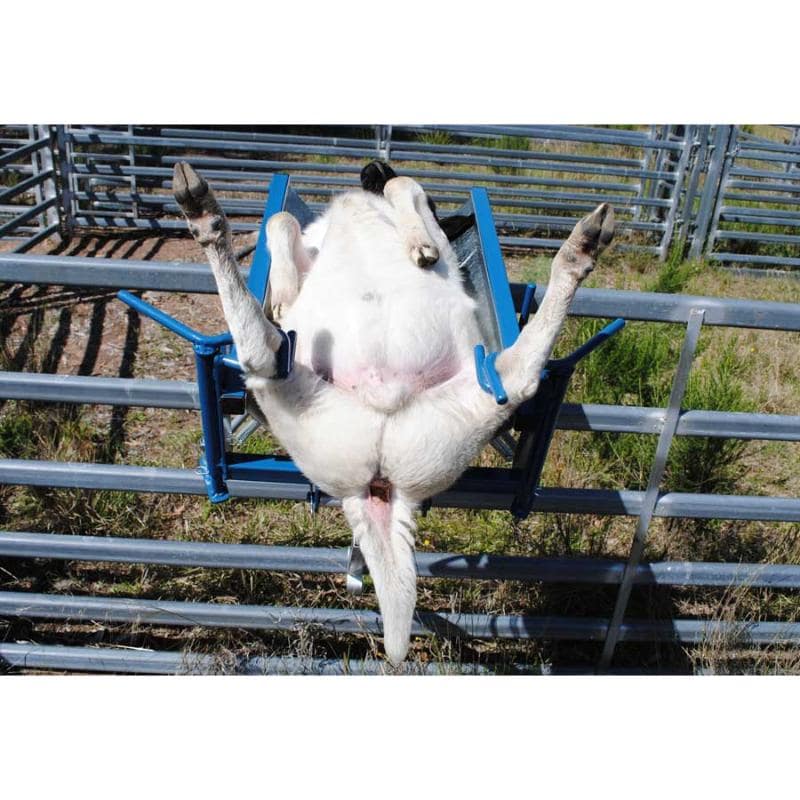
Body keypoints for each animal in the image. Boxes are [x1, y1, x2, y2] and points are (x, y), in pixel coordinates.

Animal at [172, 161, 614, 664]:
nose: (371, 168)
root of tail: (377, 488)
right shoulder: (312, 241)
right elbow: (281, 222)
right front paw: (283, 294)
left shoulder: (434, 229)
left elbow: (406, 189)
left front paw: (416, 243)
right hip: (346, 407)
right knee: (265, 355)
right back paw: (204, 215)